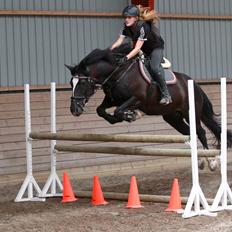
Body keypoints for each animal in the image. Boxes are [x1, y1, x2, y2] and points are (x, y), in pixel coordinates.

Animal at [65, 44, 232, 154]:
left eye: (82, 83)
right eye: (71, 83)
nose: (74, 110)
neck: (118, 73)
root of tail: (194, 84)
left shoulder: (137, 99)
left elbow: (119, 111)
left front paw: (130, 115)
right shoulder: (112, 99)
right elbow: (100, 110)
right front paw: (120, 118)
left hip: (191, 112)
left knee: (200, 131)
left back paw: (209, 158)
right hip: (173, 117)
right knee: (189, 132)